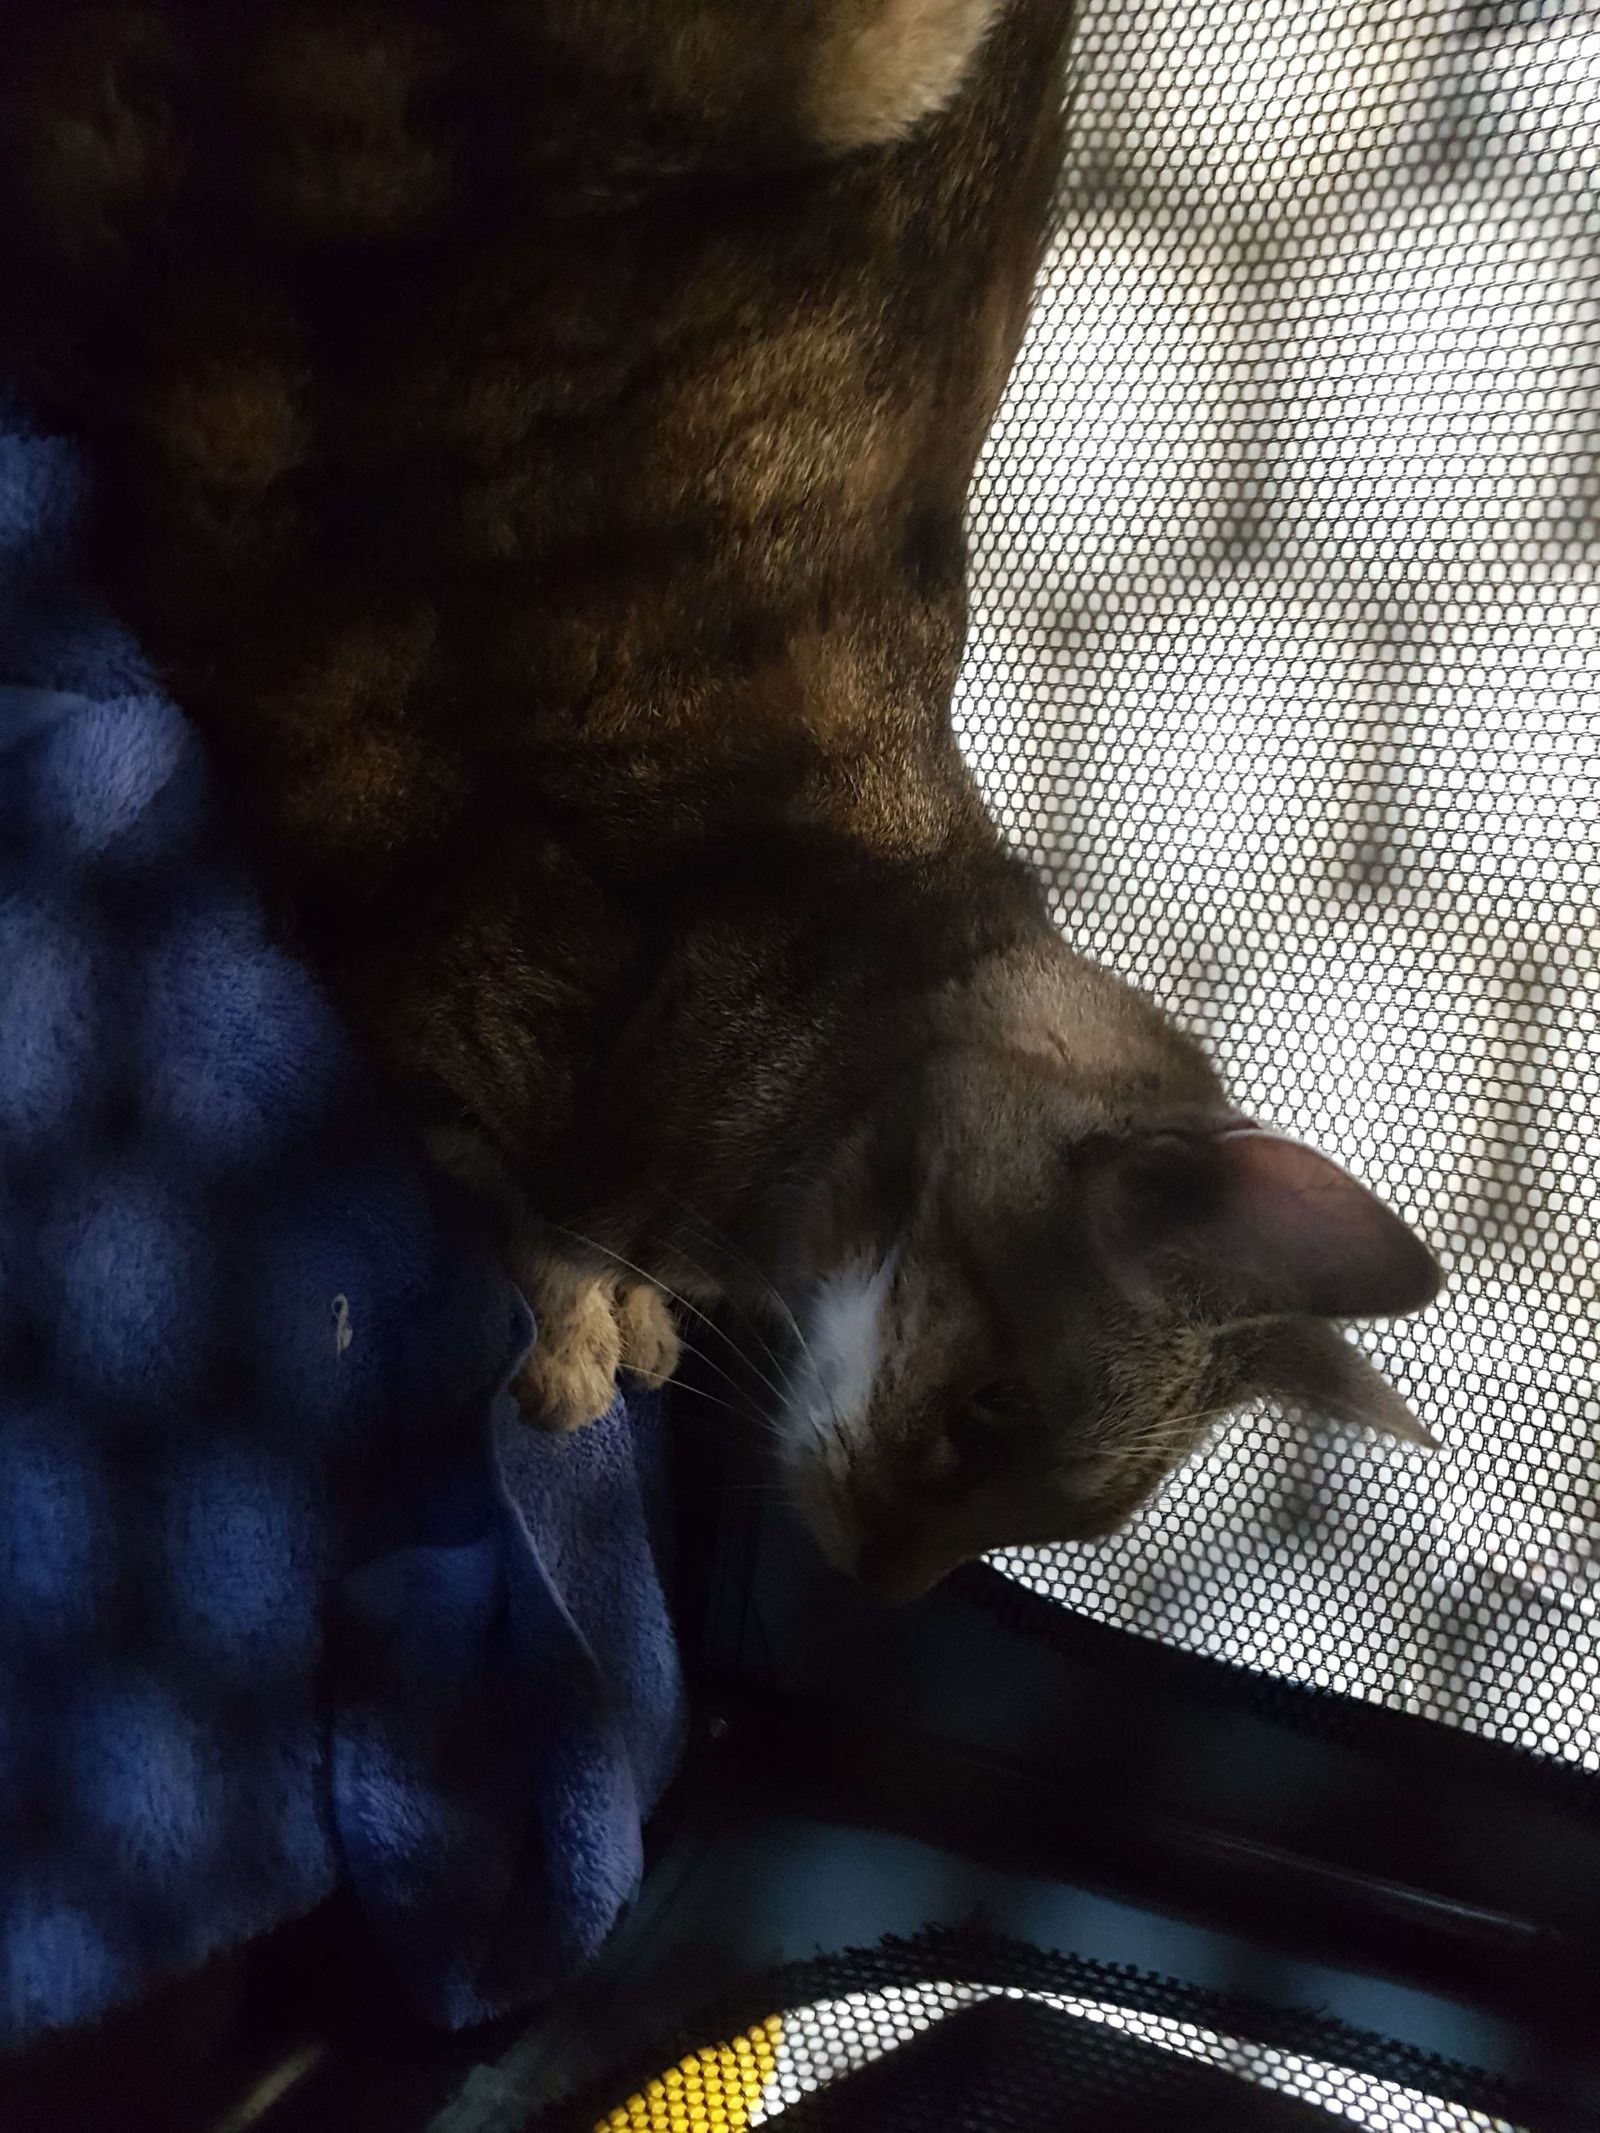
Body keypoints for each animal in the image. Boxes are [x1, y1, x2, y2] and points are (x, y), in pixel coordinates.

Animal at [0, 0, 1440, 1600]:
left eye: (1058, 1528)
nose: (879, 1595)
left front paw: (626, 1322)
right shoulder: (461, 938)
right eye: (992, 1412)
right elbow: (530, 1199)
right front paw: (578, 1332)